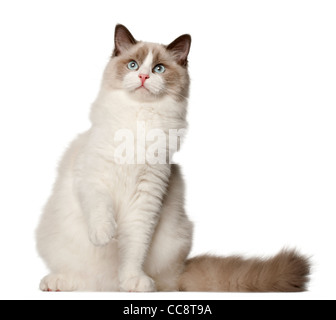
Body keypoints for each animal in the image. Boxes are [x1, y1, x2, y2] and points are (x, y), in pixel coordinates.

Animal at [36, 23, 310, 292]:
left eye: (158, 68)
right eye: (133, 65)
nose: (144, 77)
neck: (139, 119)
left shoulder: (147, 197)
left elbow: (134, 247)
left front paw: (133, 281)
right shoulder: (93, 178)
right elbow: (100, 211)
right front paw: (105, 235)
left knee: (161, 281)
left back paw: (138, 284)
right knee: (84, 278)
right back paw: (57, 282)